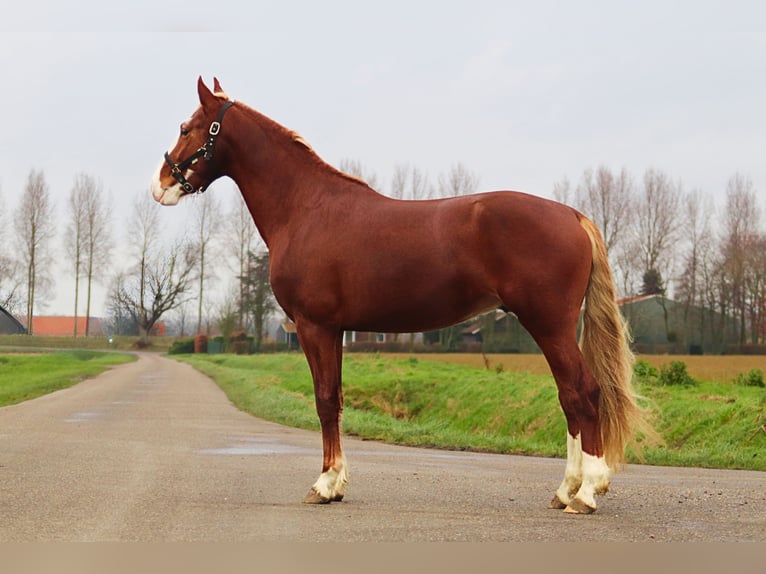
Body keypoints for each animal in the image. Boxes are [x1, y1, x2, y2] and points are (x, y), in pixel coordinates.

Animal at [152, 77, 648, 516]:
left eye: (186, 128)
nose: (160, 185)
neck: (306, 208)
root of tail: (573, 215)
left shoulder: (314, 326)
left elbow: (324, 400)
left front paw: (324, 485)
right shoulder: (336, 330)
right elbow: (336, 398)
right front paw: (337, 482)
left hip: (549, 323)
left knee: (582, 393)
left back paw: (586, 493)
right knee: (569, 396)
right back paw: (566, 491)